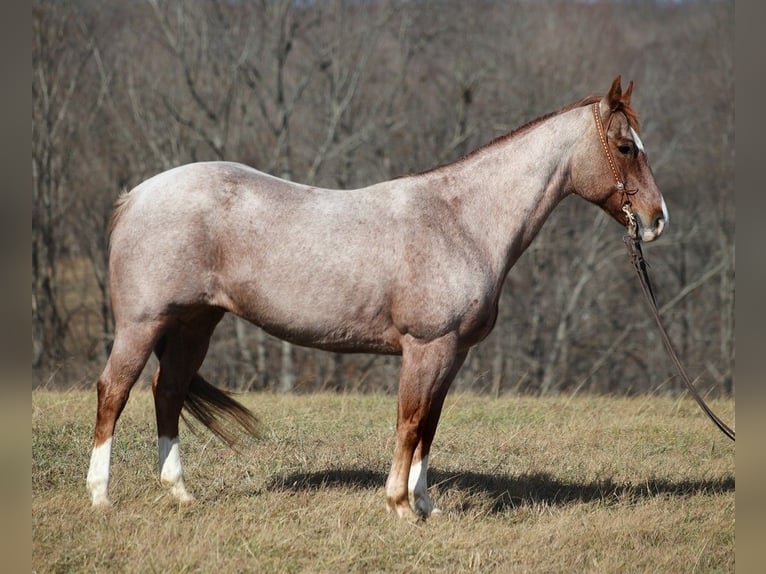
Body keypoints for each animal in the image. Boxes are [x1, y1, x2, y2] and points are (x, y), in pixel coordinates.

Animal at [87, 76, 668, 520]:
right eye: (625, 147)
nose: (657, 219)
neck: (461, 220)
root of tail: (135, 196)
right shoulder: (426, 347)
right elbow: (410, 422)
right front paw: (399, 506)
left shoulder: (452, 353)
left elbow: (430, 425)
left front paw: (426, 506)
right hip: (143, 324)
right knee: (114, 391)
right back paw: (100, 497)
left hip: (195, 324)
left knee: (168, 390)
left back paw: (180, 492)